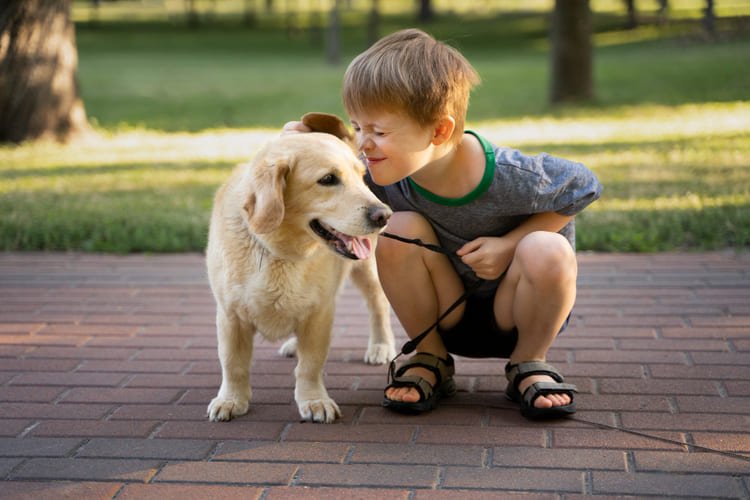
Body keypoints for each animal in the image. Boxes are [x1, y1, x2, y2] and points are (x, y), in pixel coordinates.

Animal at [204, 112, 394, 422]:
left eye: (362, 177)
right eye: (328, 179)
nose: (384, 215)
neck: (281, 252)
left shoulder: (319, 313)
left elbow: (310, 365)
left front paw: (314, 400)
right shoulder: (230, 315)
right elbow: (233, 363)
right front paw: (231, 399)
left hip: (369, 272)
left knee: (378, 306)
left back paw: (381, 345)